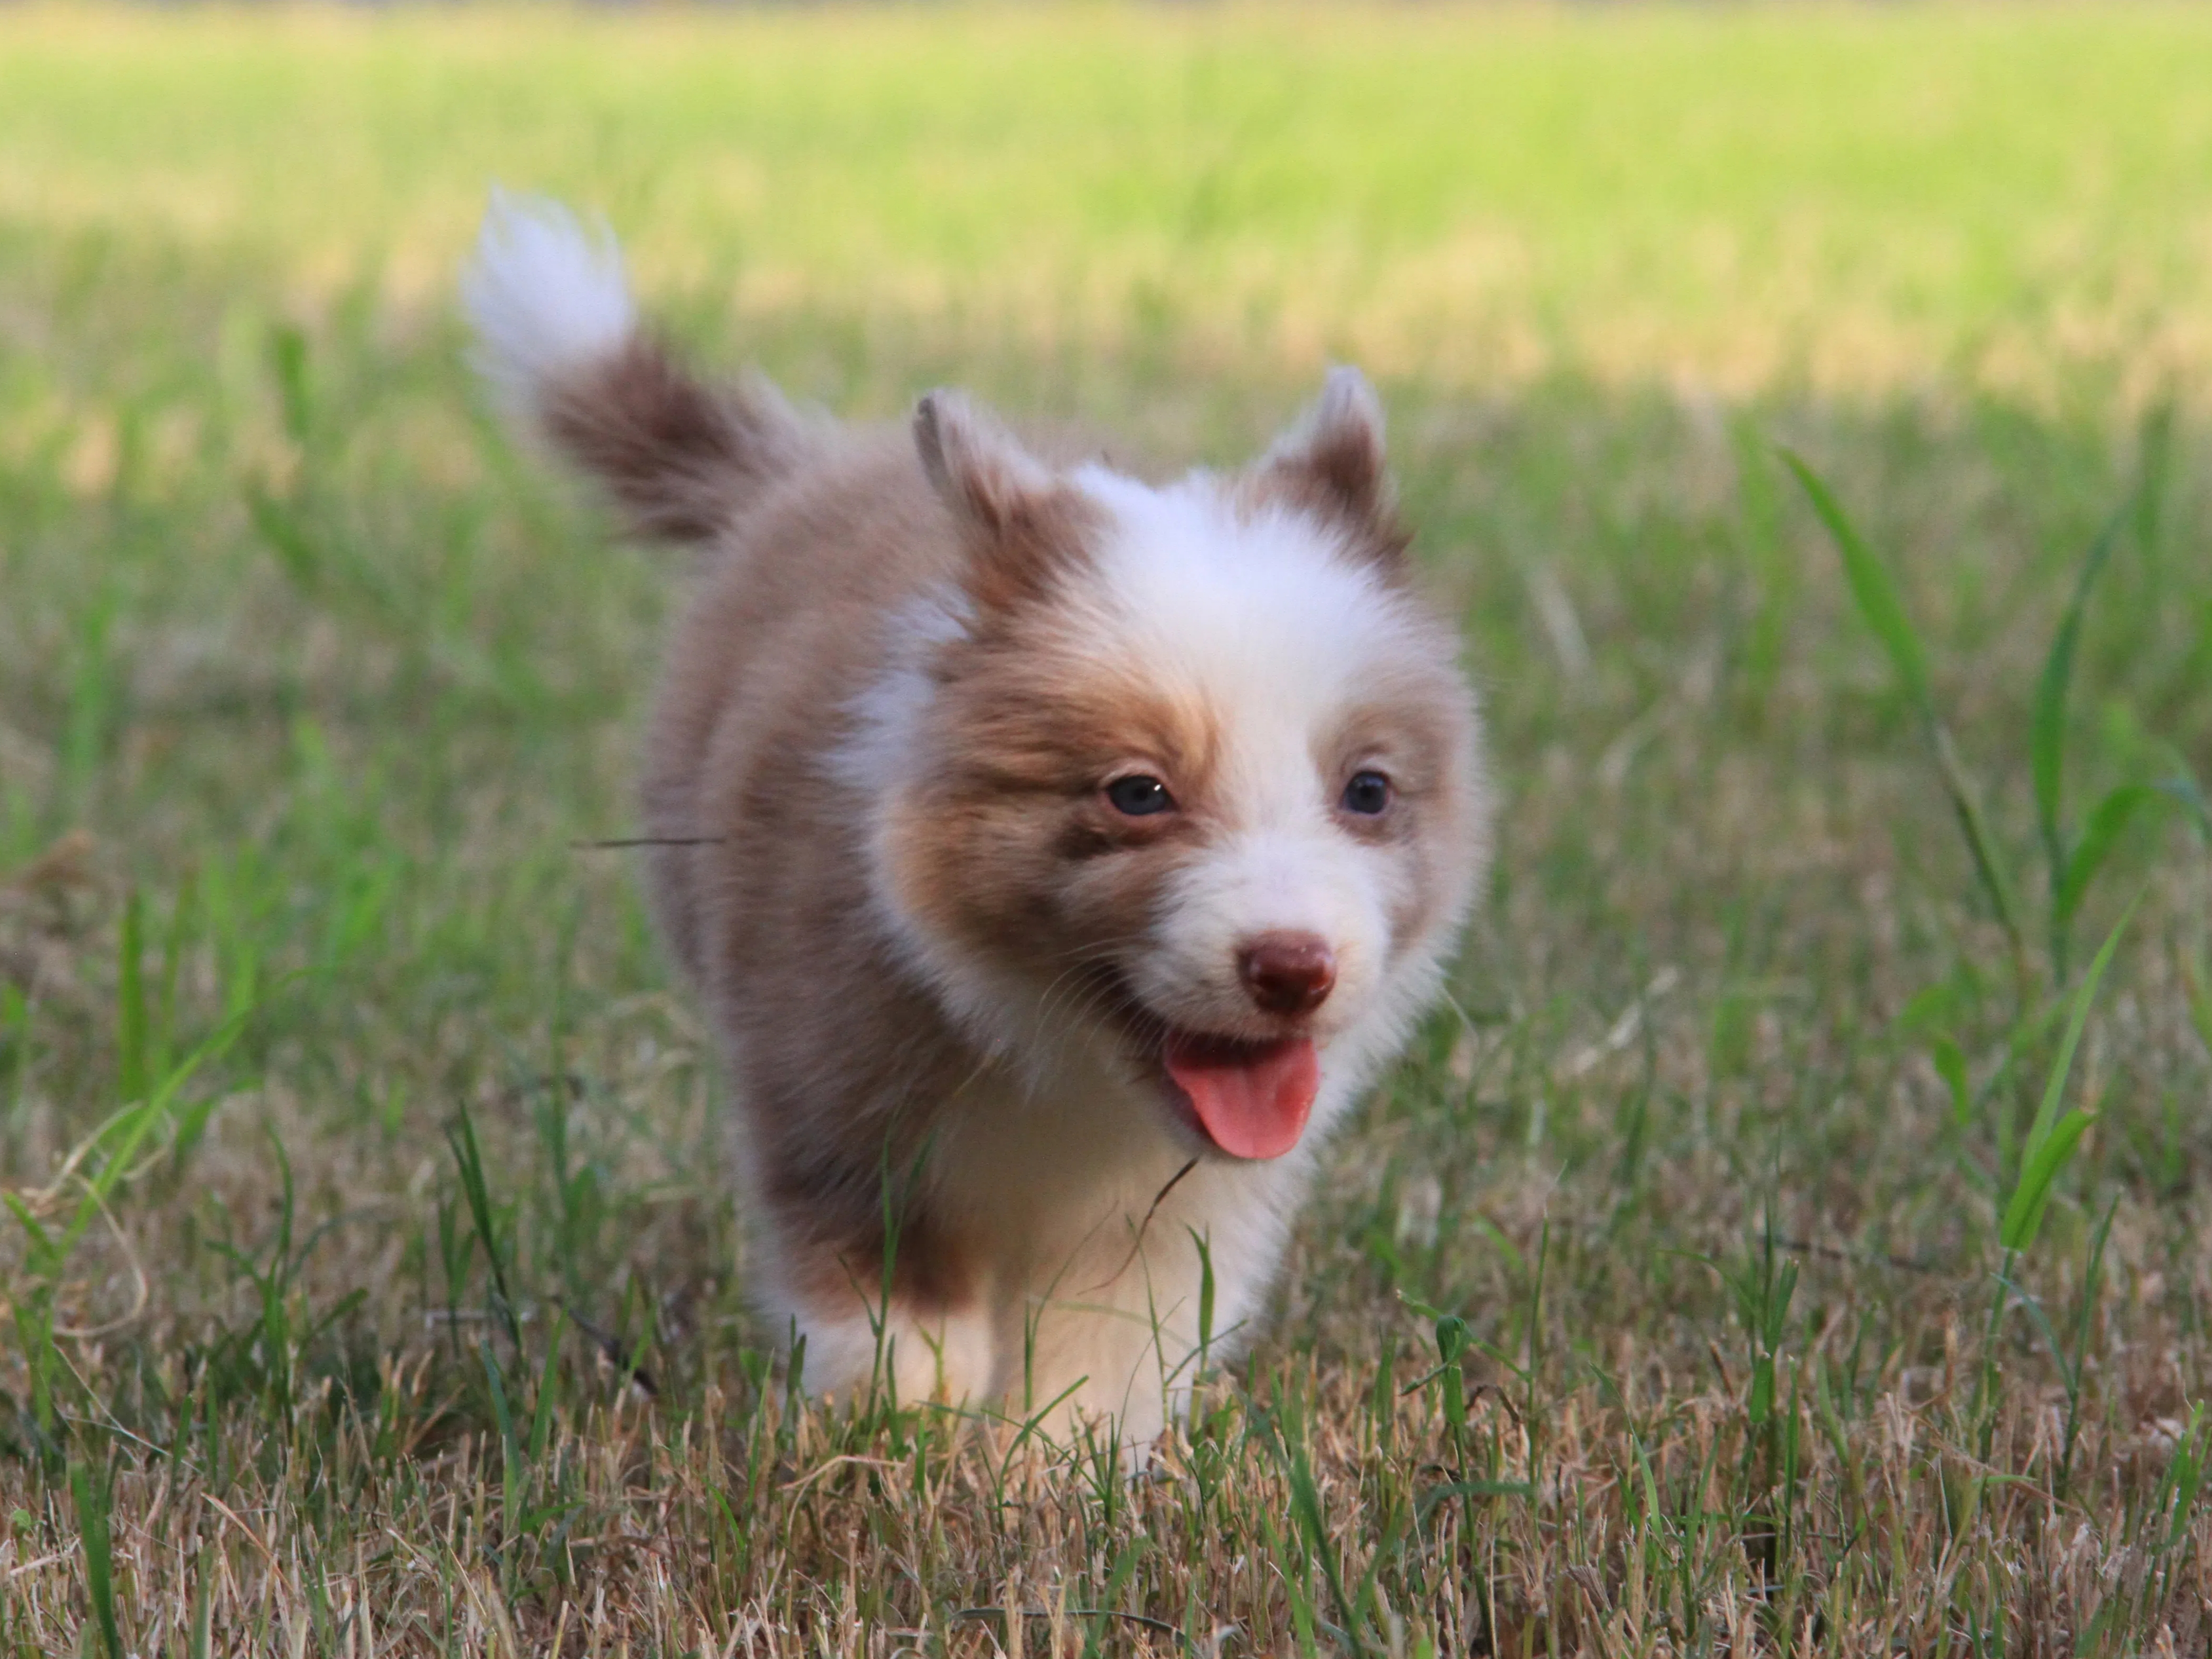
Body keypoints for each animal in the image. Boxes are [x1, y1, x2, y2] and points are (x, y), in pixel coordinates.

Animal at [462, 191, 1486, 1442]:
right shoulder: (831, 1095)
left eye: (1368, 791)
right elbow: (894, 1318)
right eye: (1137, 793)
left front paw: (1052, 1467)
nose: (1295, 969)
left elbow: (1108, 1352)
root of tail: (814, 468)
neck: (1061, 1050)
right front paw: (898, 1448)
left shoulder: (1182, 1204)